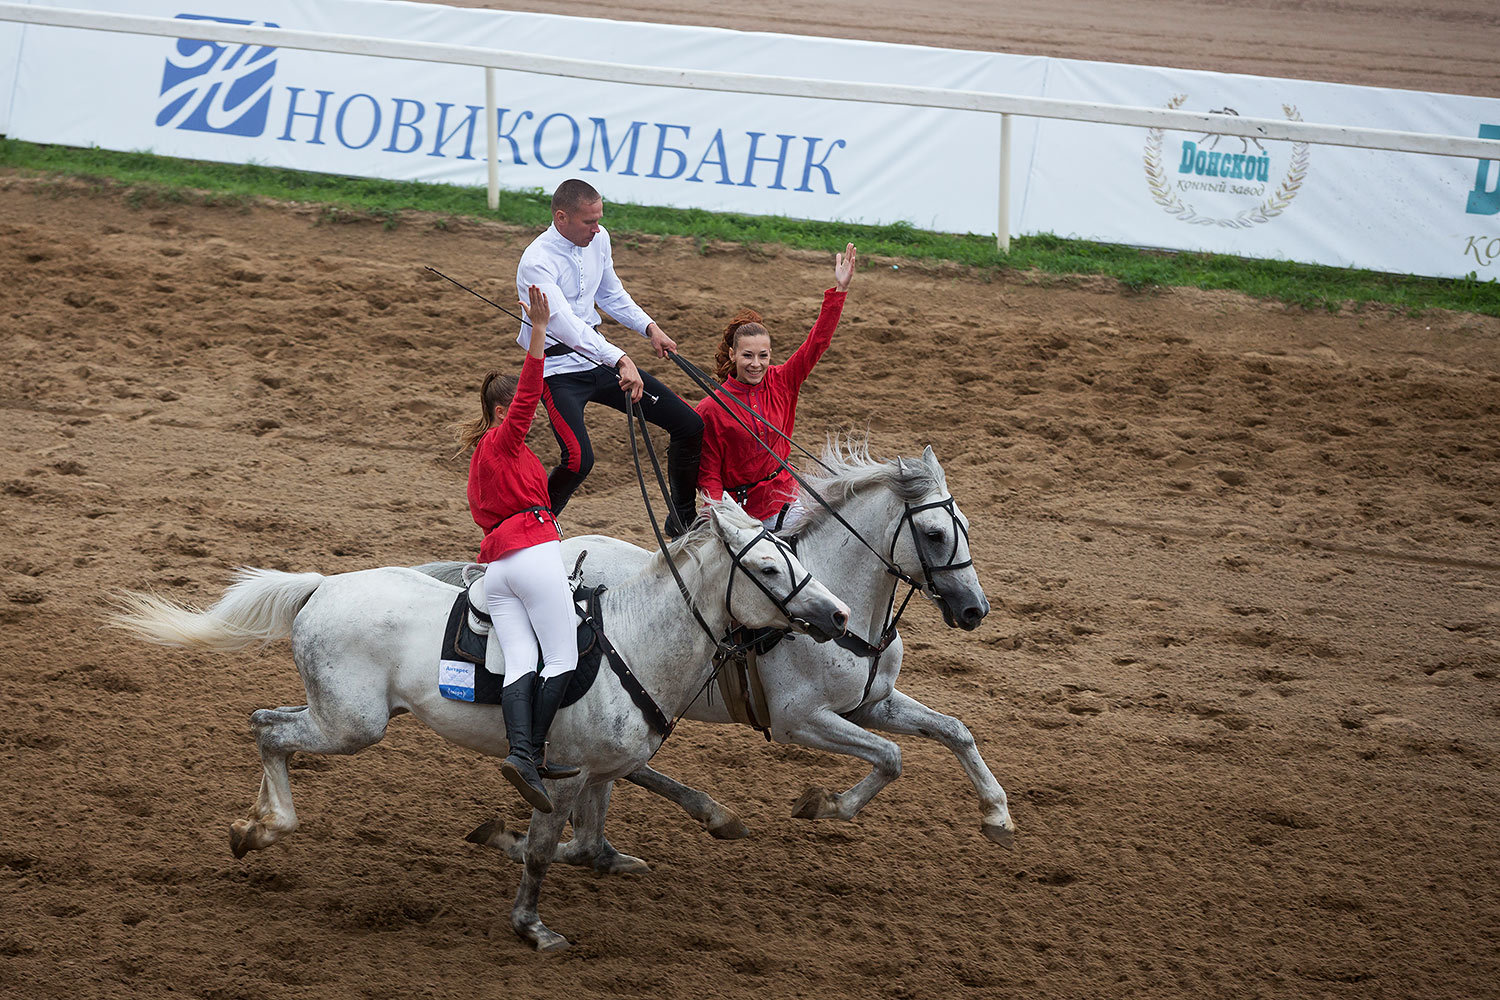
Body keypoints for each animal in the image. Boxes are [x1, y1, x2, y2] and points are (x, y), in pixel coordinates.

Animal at [111, 500, 852, 953]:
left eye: (792, 552)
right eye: (766, 565)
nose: (839, 615)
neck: (636, 640)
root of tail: (324, 586)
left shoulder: (601, 771)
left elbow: (589, 838)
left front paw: (551, 851)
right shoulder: (562, 775)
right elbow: (544, 850)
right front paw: (531, 925)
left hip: (336, 714)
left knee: (266, 720)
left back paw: (256, 825)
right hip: (351, 725)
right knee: (268, 730)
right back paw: (261, 830)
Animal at [420, 440, 1020, 869]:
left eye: (967, 526)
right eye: (935, 533)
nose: (975, 609)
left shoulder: (871, 703)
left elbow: (954, 731)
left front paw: (997, 815)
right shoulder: (800, 721)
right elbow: (890, 757)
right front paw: (825, 805)